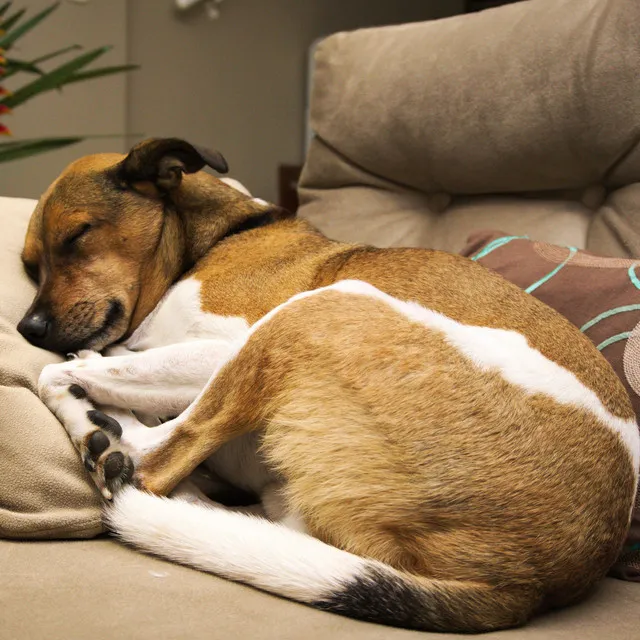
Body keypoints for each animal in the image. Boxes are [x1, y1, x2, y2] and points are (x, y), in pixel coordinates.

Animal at [18, 138, 640, 632]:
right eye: (29, 265)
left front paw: (91, 395)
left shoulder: (223, 344)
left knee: (149, 463)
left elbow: (77, 368)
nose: (27, 329)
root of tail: (527, 583)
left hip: (312, 311)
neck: (217, 237)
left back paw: (104, 436)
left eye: (77, 236)